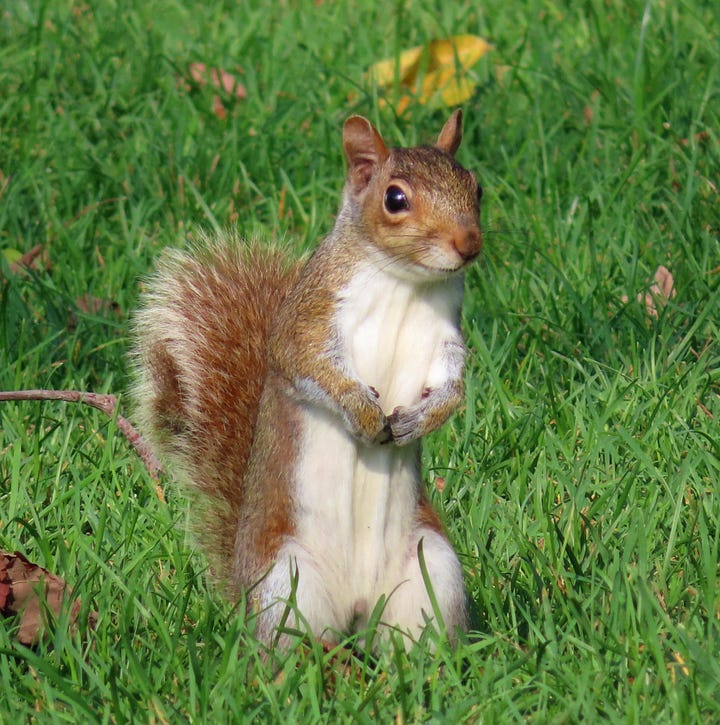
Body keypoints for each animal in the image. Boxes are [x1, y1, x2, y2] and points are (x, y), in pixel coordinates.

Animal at [131, 110, 484, 648]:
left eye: (476, 188)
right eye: (394, 198)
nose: (469, 244)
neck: (406, 284)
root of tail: (357, 608)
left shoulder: (446, 338)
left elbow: (454, 387)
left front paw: (422, 419)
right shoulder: (310, 319)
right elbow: (306, 366)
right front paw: (363, 412)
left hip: (432, 569)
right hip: (286, 581)